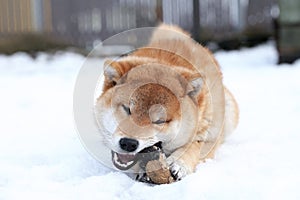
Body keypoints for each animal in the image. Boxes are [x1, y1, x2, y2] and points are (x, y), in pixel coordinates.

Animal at [95, 24, 238, 182]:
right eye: (127, 109)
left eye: (159, 121)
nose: (129, 143)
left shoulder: (211, 134)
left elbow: (194, 146)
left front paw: (179, 163)